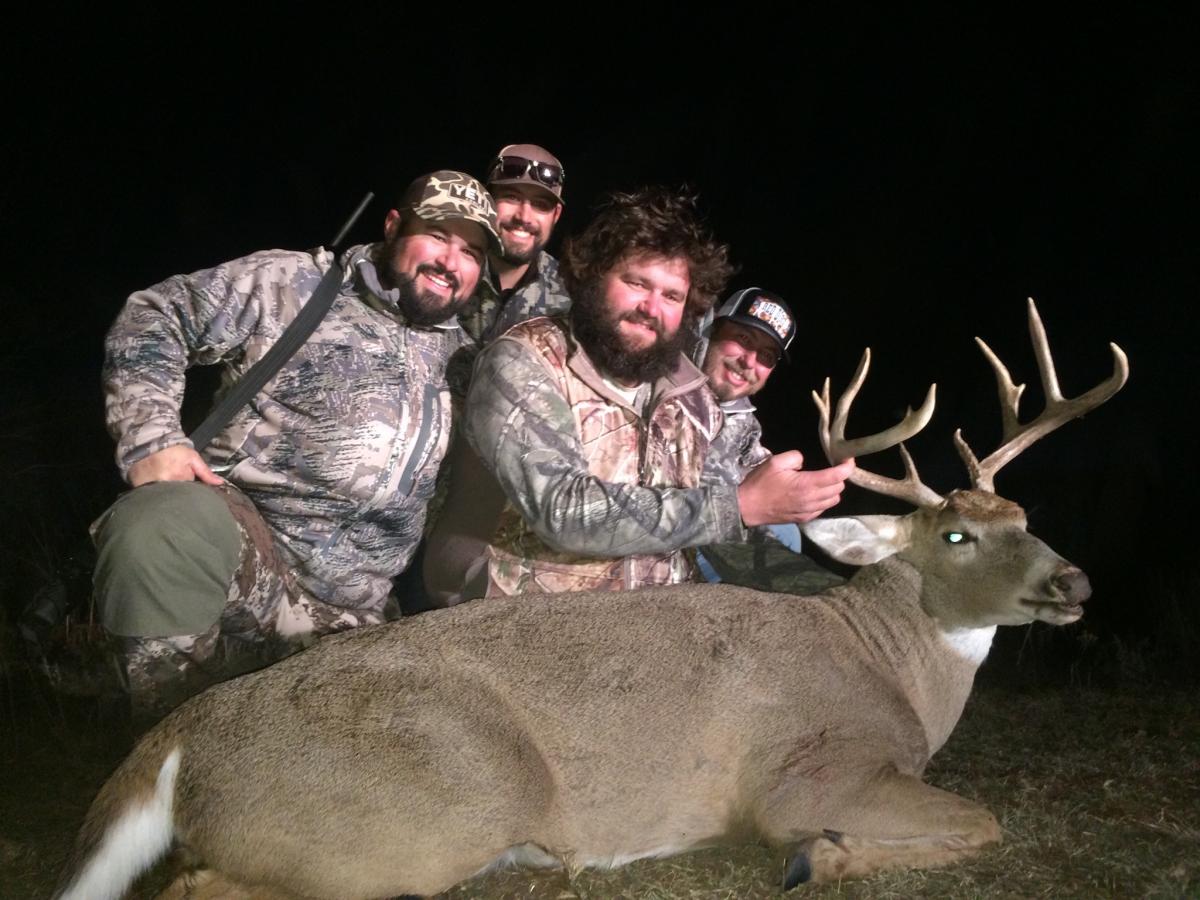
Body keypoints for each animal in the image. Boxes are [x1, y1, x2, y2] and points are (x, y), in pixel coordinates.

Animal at [56, 299, 1127, 900]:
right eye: (956, 536)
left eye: (1025, 513)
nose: (1074, 582)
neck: (892, 668)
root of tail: (183, 736)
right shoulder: (807, 773)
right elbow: (981, 824)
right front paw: (818, 861)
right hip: (417, 818)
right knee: (194, 885)